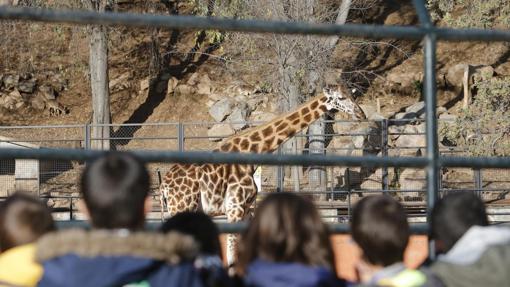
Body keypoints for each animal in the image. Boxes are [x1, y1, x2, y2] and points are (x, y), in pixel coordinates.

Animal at [159, 85, 366, 266]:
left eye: (352, 94)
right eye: (341, 98)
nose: (361, 114)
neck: (251, 153)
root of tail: (164, 186)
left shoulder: (247, 209)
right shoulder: (234, 208)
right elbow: (231, 255)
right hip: (182, 206)